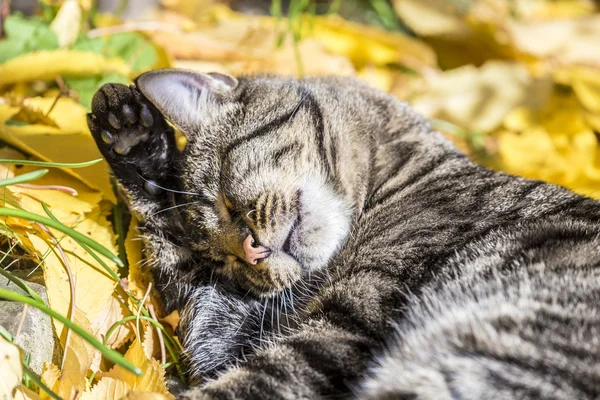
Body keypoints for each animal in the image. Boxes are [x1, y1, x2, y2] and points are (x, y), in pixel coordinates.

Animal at [86, 70, 600, 398]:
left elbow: (247, 384)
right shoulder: (224, 327)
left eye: (228, 202)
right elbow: (174, 253)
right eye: (225, 260)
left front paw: (130, 131)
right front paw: (132, 139)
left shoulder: (337, 330)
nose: (249, 253)